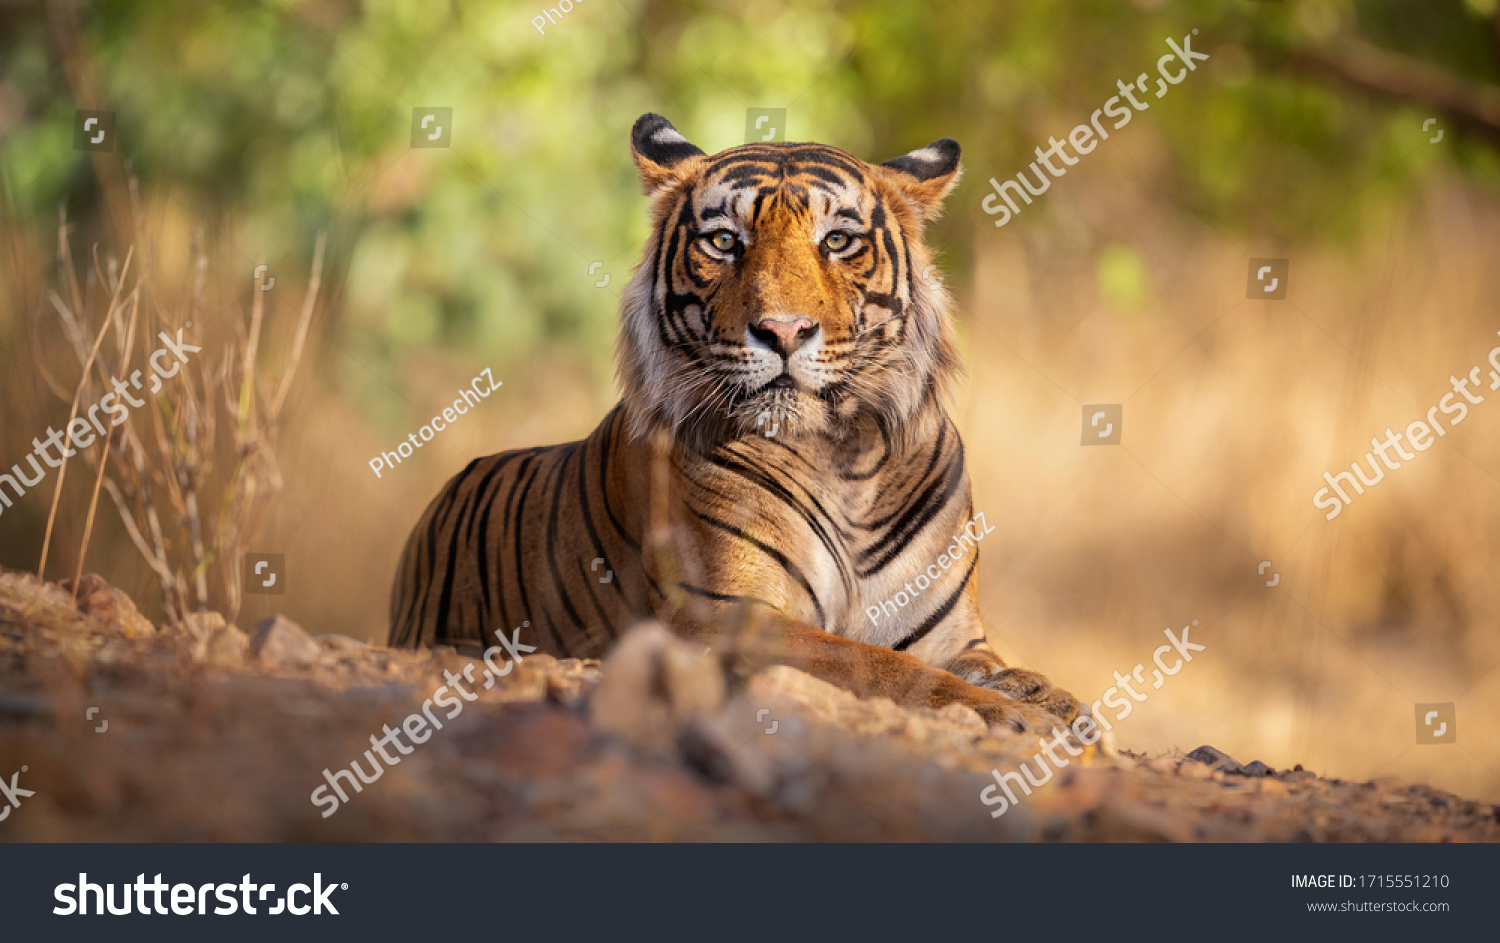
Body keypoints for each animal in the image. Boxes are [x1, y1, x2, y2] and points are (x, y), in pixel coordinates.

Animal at [389, 113, 1082, 733]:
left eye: (837, 241)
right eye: (724, 242)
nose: (783, 331)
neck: (845, 460)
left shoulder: (949, 634)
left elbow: (990, 668)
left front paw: (1051, 701)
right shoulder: (725, 617)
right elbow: (877, 665)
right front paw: (1011, 714)